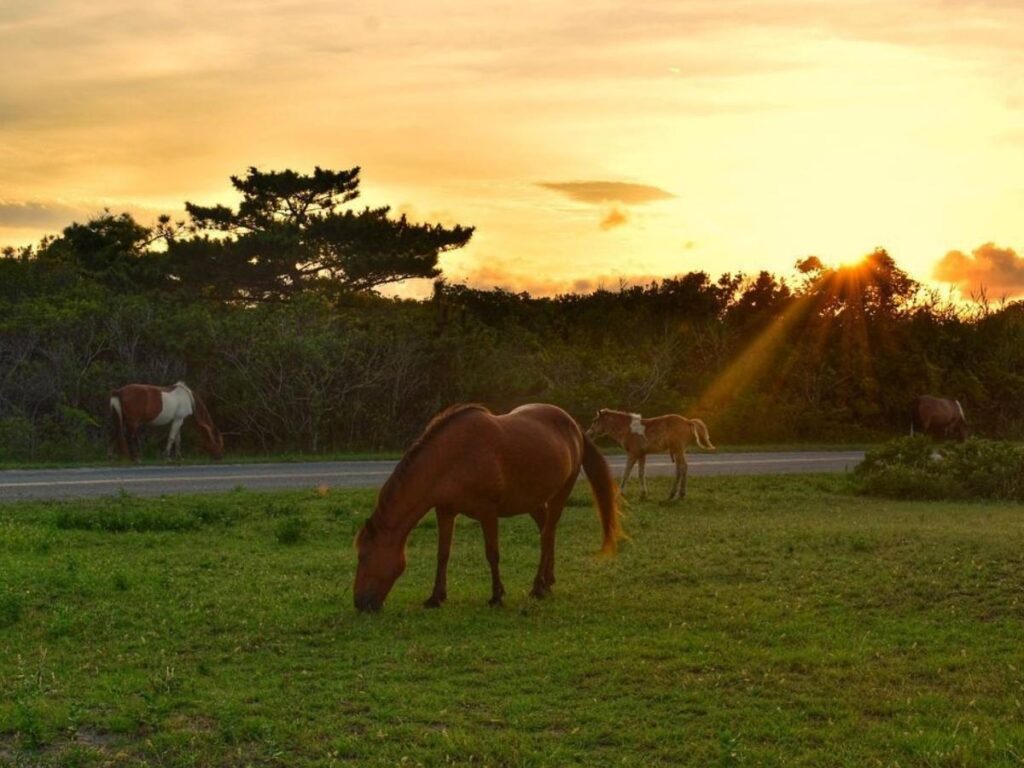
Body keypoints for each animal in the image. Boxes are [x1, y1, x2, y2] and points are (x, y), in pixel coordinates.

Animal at [353, 403, 623, 613]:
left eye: (364, 555)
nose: (359, 603)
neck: (454, 459)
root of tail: (574, 426)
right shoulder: (445, 511)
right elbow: (443, 554)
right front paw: (436, 597)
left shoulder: (488, 512)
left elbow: (492, 553)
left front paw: (496, 596)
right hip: (533, 501)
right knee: (547, 531)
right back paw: (548, 581)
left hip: (561, 493)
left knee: (547, 535)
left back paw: (538, 587)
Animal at [586, 408, 715, 501]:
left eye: (595, 421)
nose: (588, 434)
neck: (627, 429)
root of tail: (688, 422)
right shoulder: (642, 454)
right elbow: (641, 473)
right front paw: (643, 494)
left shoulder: (633, 453)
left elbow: (626, 473)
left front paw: (618, 494)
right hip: (679, 450)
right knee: (681, 468)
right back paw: (675, 494)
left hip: (678, 449)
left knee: (682, 467)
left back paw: (678, 494)